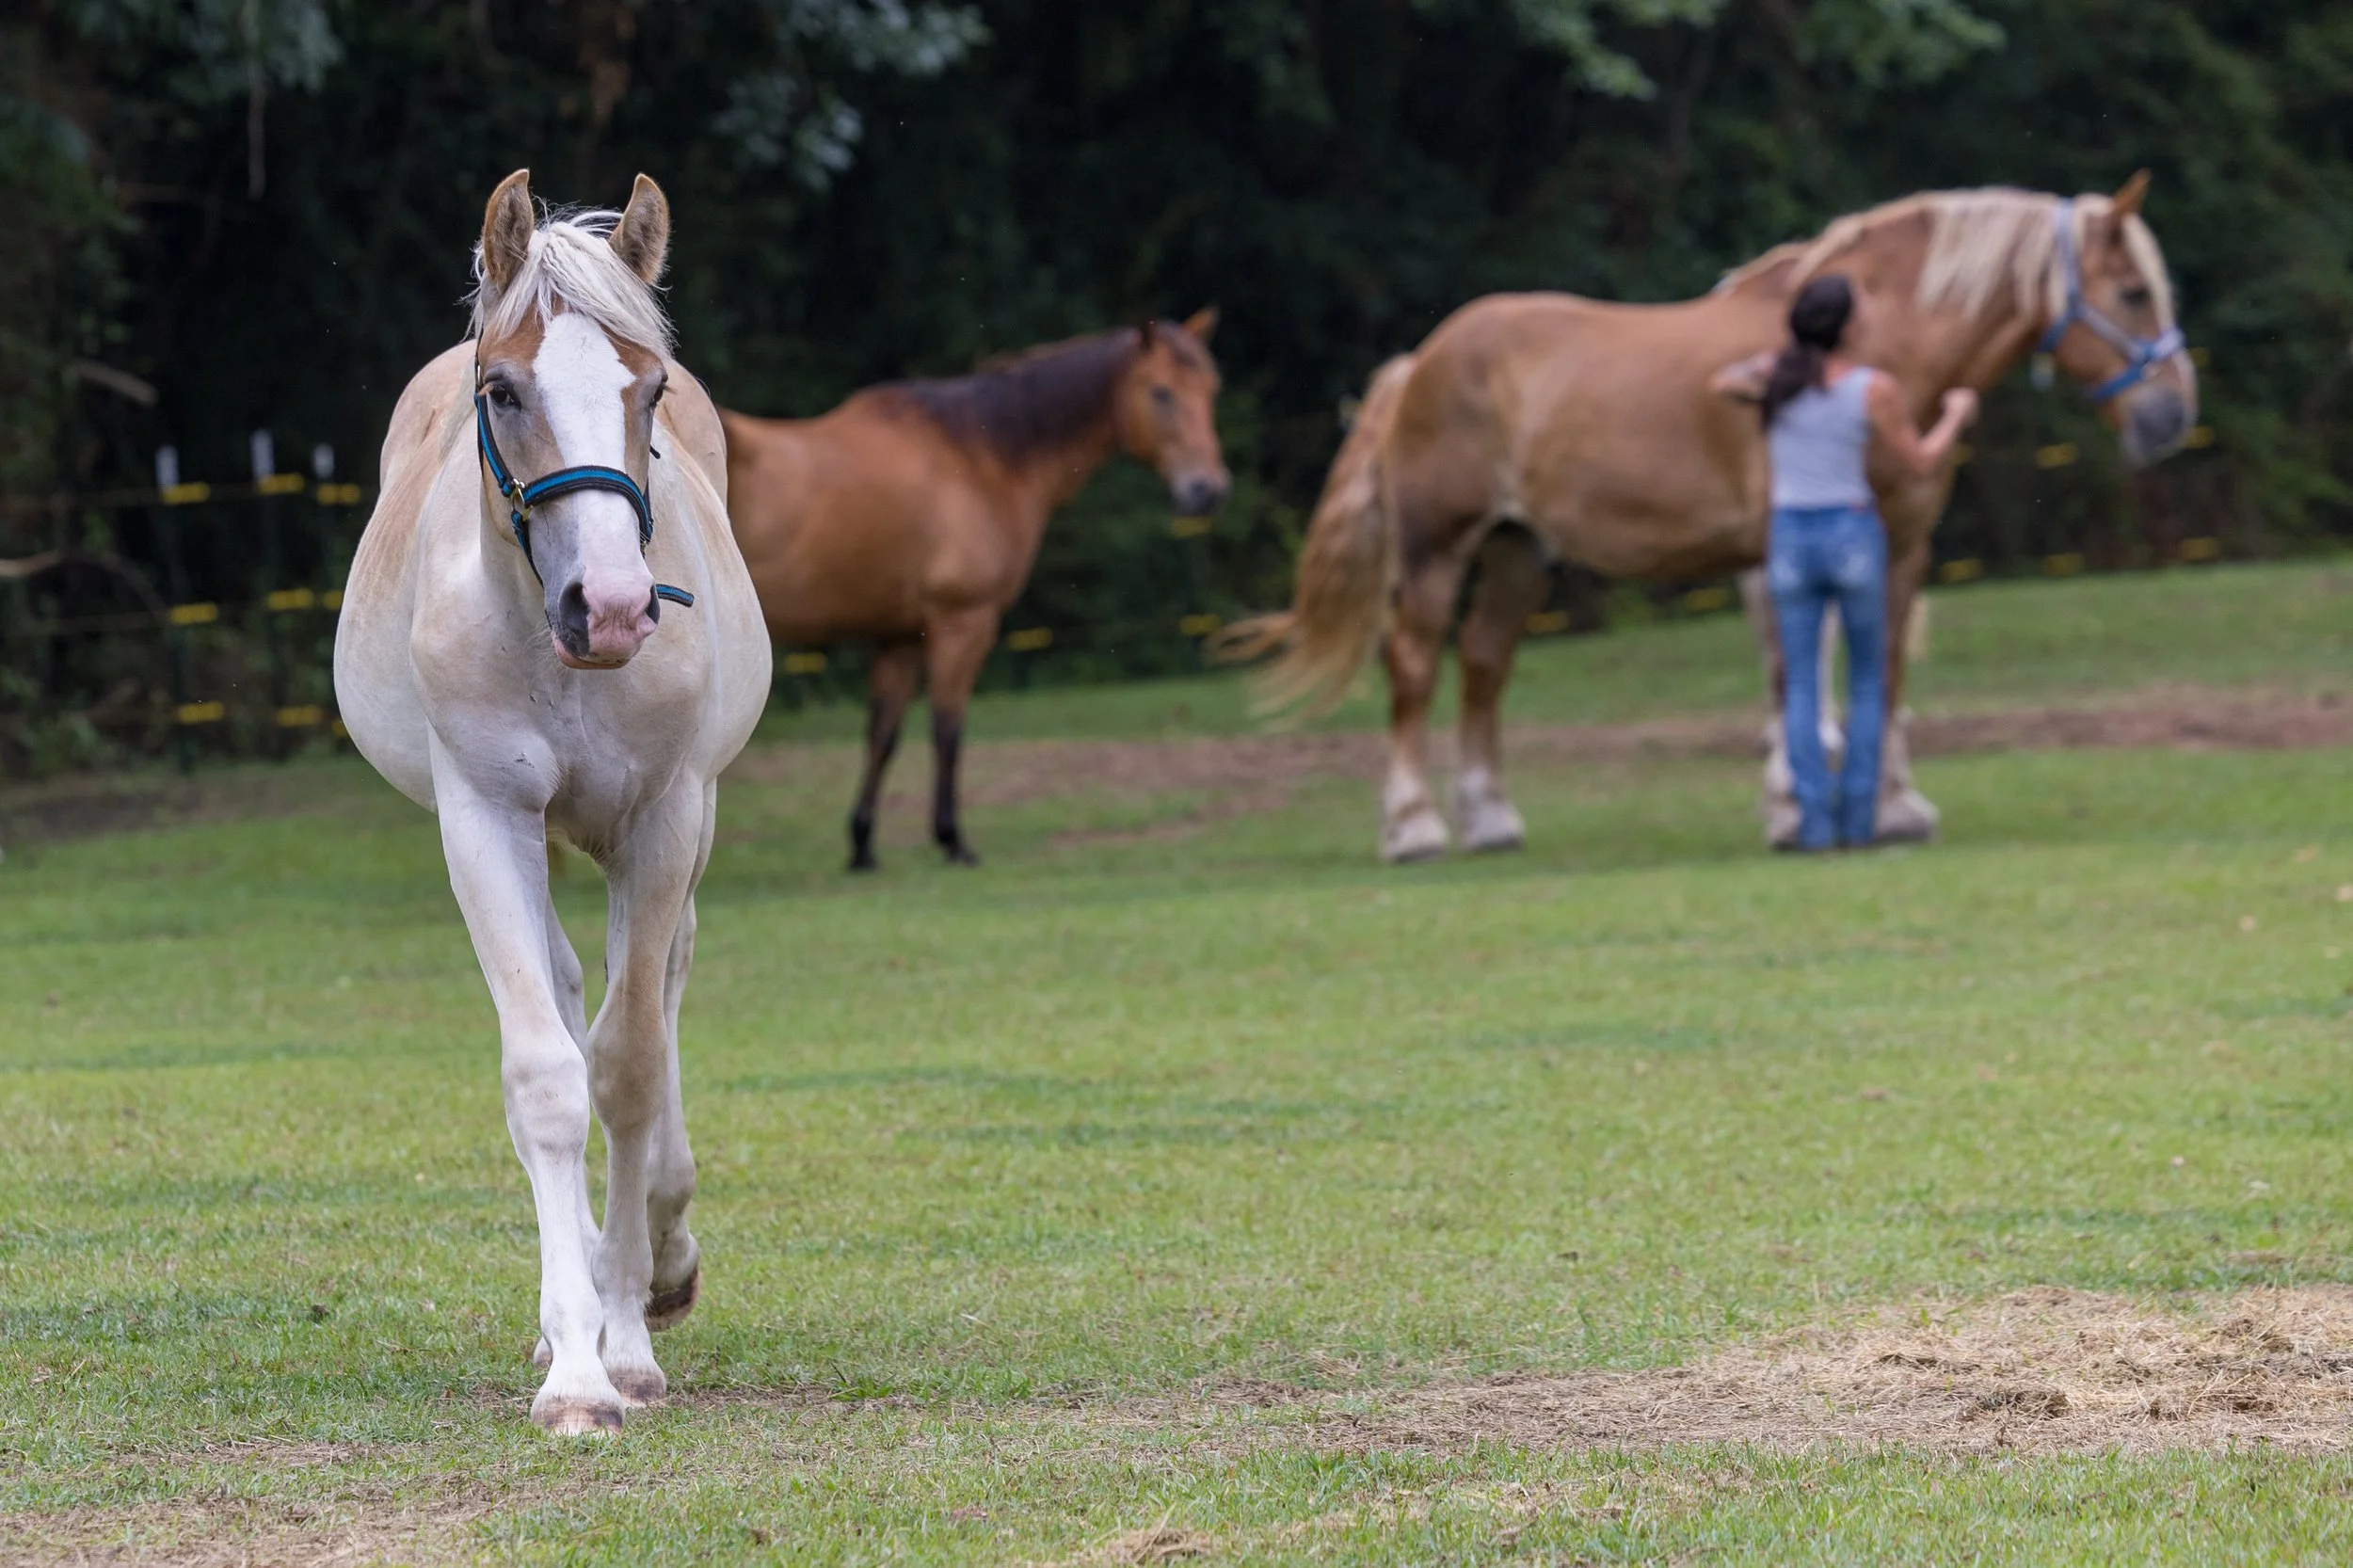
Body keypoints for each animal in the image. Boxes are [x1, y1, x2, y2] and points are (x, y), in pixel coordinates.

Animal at [334, 172, 770, 1433]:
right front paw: (574, 1367)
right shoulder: (482, 820)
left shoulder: (663, 819)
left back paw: (663, 1254)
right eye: (504, 390)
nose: (613, 607)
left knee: (656, 990)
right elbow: (547, 1073)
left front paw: (627, 1339)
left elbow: (628, 1067)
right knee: (576, 986)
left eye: (651, 391)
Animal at [721, 313, 1228, 870]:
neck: (979, 459)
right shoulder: (963, 622)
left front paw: (862, 845)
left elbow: (883, 735)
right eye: (1161, 393)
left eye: (1211, 389)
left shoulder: (900, 636)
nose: (1209, 490)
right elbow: (948, 729)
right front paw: (951, 839)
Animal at [1218, 177, 2194, 861]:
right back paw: (1414, 828)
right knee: (1417, 666)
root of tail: (1419, 360)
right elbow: (1796, 674)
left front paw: (1894, 807)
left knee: (1487, 665)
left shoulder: (1900, 549)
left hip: (1517, 554)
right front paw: (1795, 806)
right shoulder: (1781, 550)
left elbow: (1881, 674)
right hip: (1437, 550)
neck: (1869, 346)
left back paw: (1492, 821)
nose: (2173, 416)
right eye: (2133, 293)